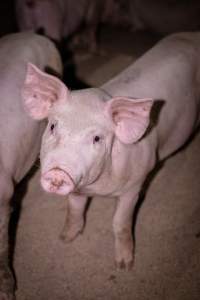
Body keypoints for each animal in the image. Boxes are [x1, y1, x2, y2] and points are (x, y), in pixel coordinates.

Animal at [21, 32, 200, 270]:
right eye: (52, 126)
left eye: (97, 138)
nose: (59, 171)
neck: (97, 190)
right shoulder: (78, 189)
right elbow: (74, 209)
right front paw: (65, 238)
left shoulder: (135, 184)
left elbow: (120, 222)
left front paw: (124, 265)